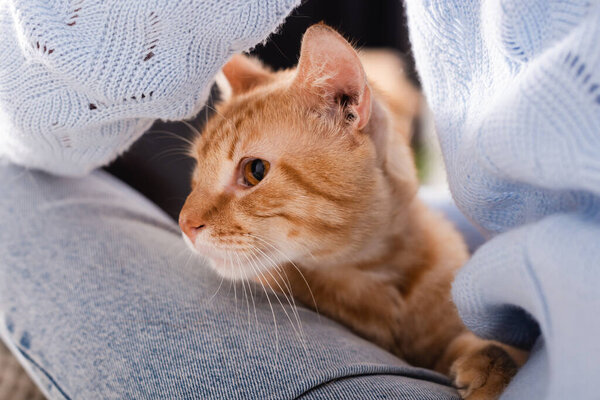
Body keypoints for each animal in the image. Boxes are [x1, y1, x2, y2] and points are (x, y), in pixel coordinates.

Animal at [178, 24, 524, 396]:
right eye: (197, 170)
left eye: (255, 170)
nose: (184, 223)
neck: (379, 268)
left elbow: (484, 342)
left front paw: (494, 365)